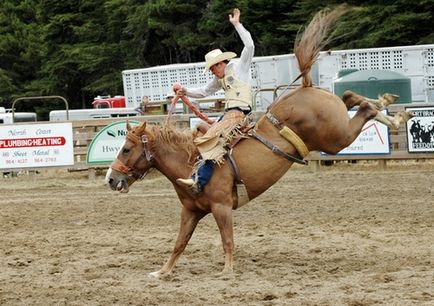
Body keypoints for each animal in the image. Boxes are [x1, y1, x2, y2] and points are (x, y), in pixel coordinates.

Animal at [107, 7, 412, 278]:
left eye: (127, 149)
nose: (111, 179)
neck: (190, 164)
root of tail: (304, 86)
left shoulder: (221, 207)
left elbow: (227, 239)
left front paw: (227, 271)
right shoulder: (190, 212)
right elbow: (179, 243)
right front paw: (163, 271)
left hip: (335, 138)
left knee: (364, 110)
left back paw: (394, 112)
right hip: (336, 123)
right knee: (350, 97)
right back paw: (389, 105)